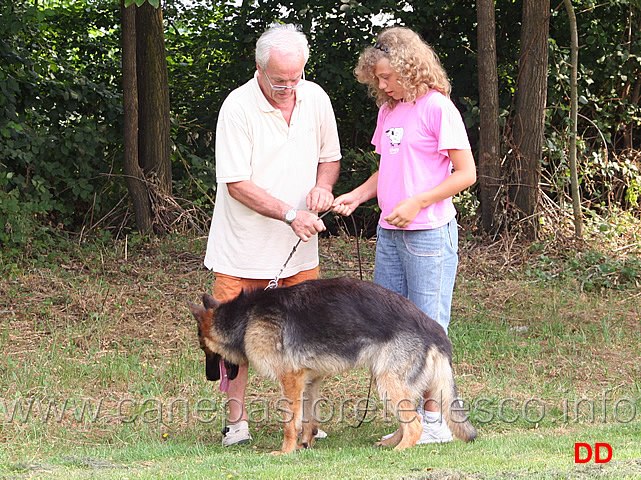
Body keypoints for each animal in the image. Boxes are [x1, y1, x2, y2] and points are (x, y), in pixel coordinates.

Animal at [188, 278, 472, 454]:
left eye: (204, 348)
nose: (210, 378)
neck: (246, 318)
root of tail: (433, 328)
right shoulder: (310, 380)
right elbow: (308, 418)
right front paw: (305, 444)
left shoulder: (290, 380)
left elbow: (290, 422)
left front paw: (285, 451)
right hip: (386, 381)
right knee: (407, 420)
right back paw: (391, 442)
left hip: (388, 382)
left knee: (414, 424)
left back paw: (400, 449)